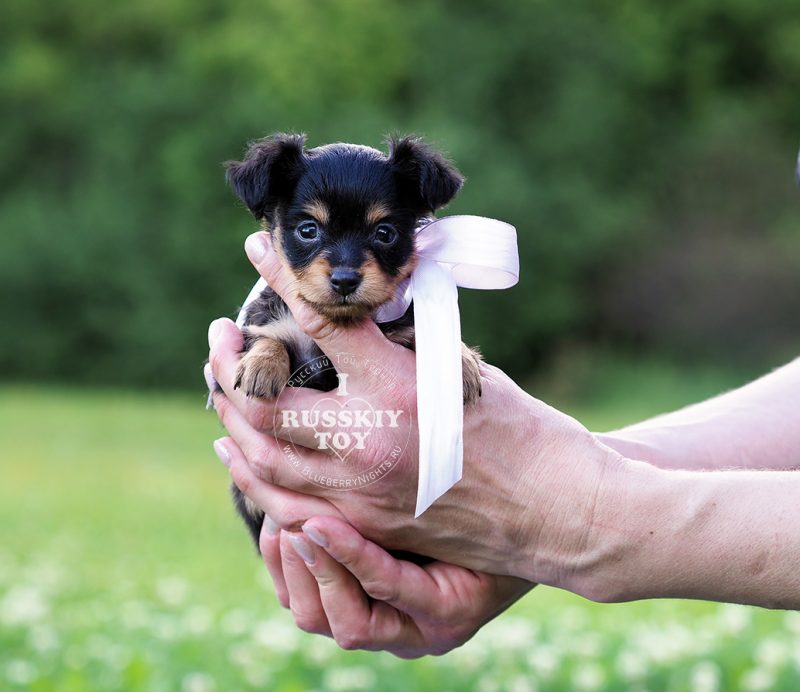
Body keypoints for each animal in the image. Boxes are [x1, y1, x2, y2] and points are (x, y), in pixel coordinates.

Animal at [222, 134, 482, 548]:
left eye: (384, 233)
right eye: (308, 230)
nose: (345, 279)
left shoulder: (399, 326)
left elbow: (426, 336)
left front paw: (459, 361)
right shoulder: (266, 323)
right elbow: (270, 337)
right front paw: (262, 365)